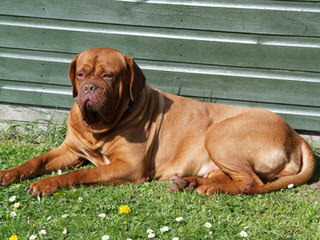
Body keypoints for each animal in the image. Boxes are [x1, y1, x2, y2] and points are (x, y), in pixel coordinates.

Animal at [0, 47, 316, 196]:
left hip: (220, 135)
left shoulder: (128, 167)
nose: (89, 88)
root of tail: (296, 134)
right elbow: (36, 161)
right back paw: (187, 183)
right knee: (232, 177)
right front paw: (9, 173)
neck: (99, 128)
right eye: (81, 73)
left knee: (250, 182)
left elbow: (82, 174)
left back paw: (207, 188)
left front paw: (47, 184)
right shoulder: (70, 150)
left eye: (108, 76)